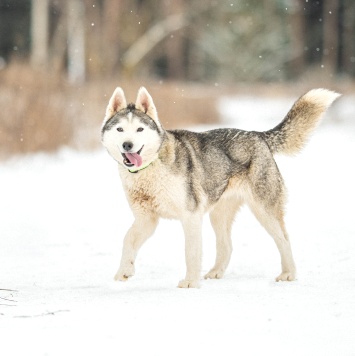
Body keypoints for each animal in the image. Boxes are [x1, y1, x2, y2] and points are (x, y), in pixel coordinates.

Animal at [101, 87, 340, 288]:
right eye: (120, 129)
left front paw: (190, 282)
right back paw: (215, 272)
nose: (128, 145)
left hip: (264, 210)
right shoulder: (147, 219)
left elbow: (191, 252)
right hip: (218, 214)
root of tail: (258, 134)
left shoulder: (190, 216)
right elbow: (127, 240)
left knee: (284, 238)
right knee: (227, 245)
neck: (150, 168)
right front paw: (124, 271)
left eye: (139, 129)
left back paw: (288, 274)